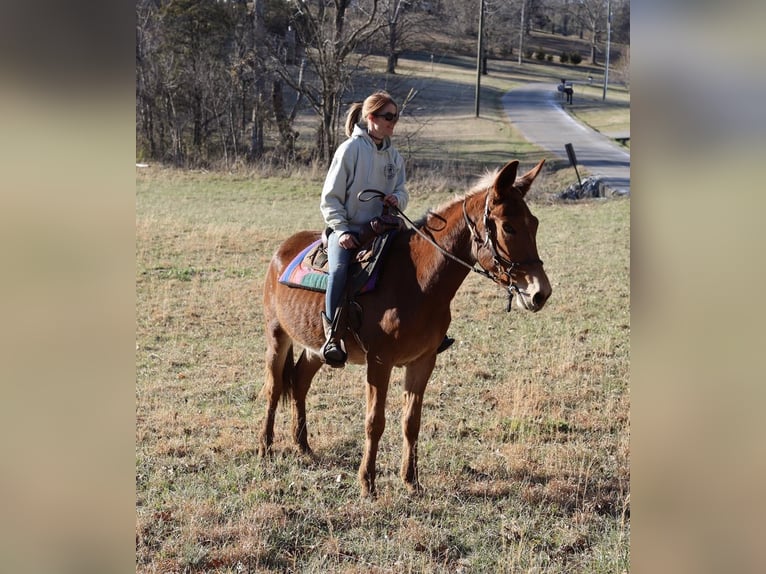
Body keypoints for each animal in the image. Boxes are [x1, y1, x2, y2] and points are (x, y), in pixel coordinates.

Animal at [258, 159, 552, 500]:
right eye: (508, 227)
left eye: (535, 223)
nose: (540, 293)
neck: (419, 282)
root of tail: (283, 250)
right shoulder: (379, 361)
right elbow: (375, 421)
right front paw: (367, 483)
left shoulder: (423, 361)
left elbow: (412, 421)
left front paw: (411, 480)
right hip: (277, 336)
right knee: (275, 387)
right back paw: (265, 447)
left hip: (316, 348)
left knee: (300, 382)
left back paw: (302, 445)